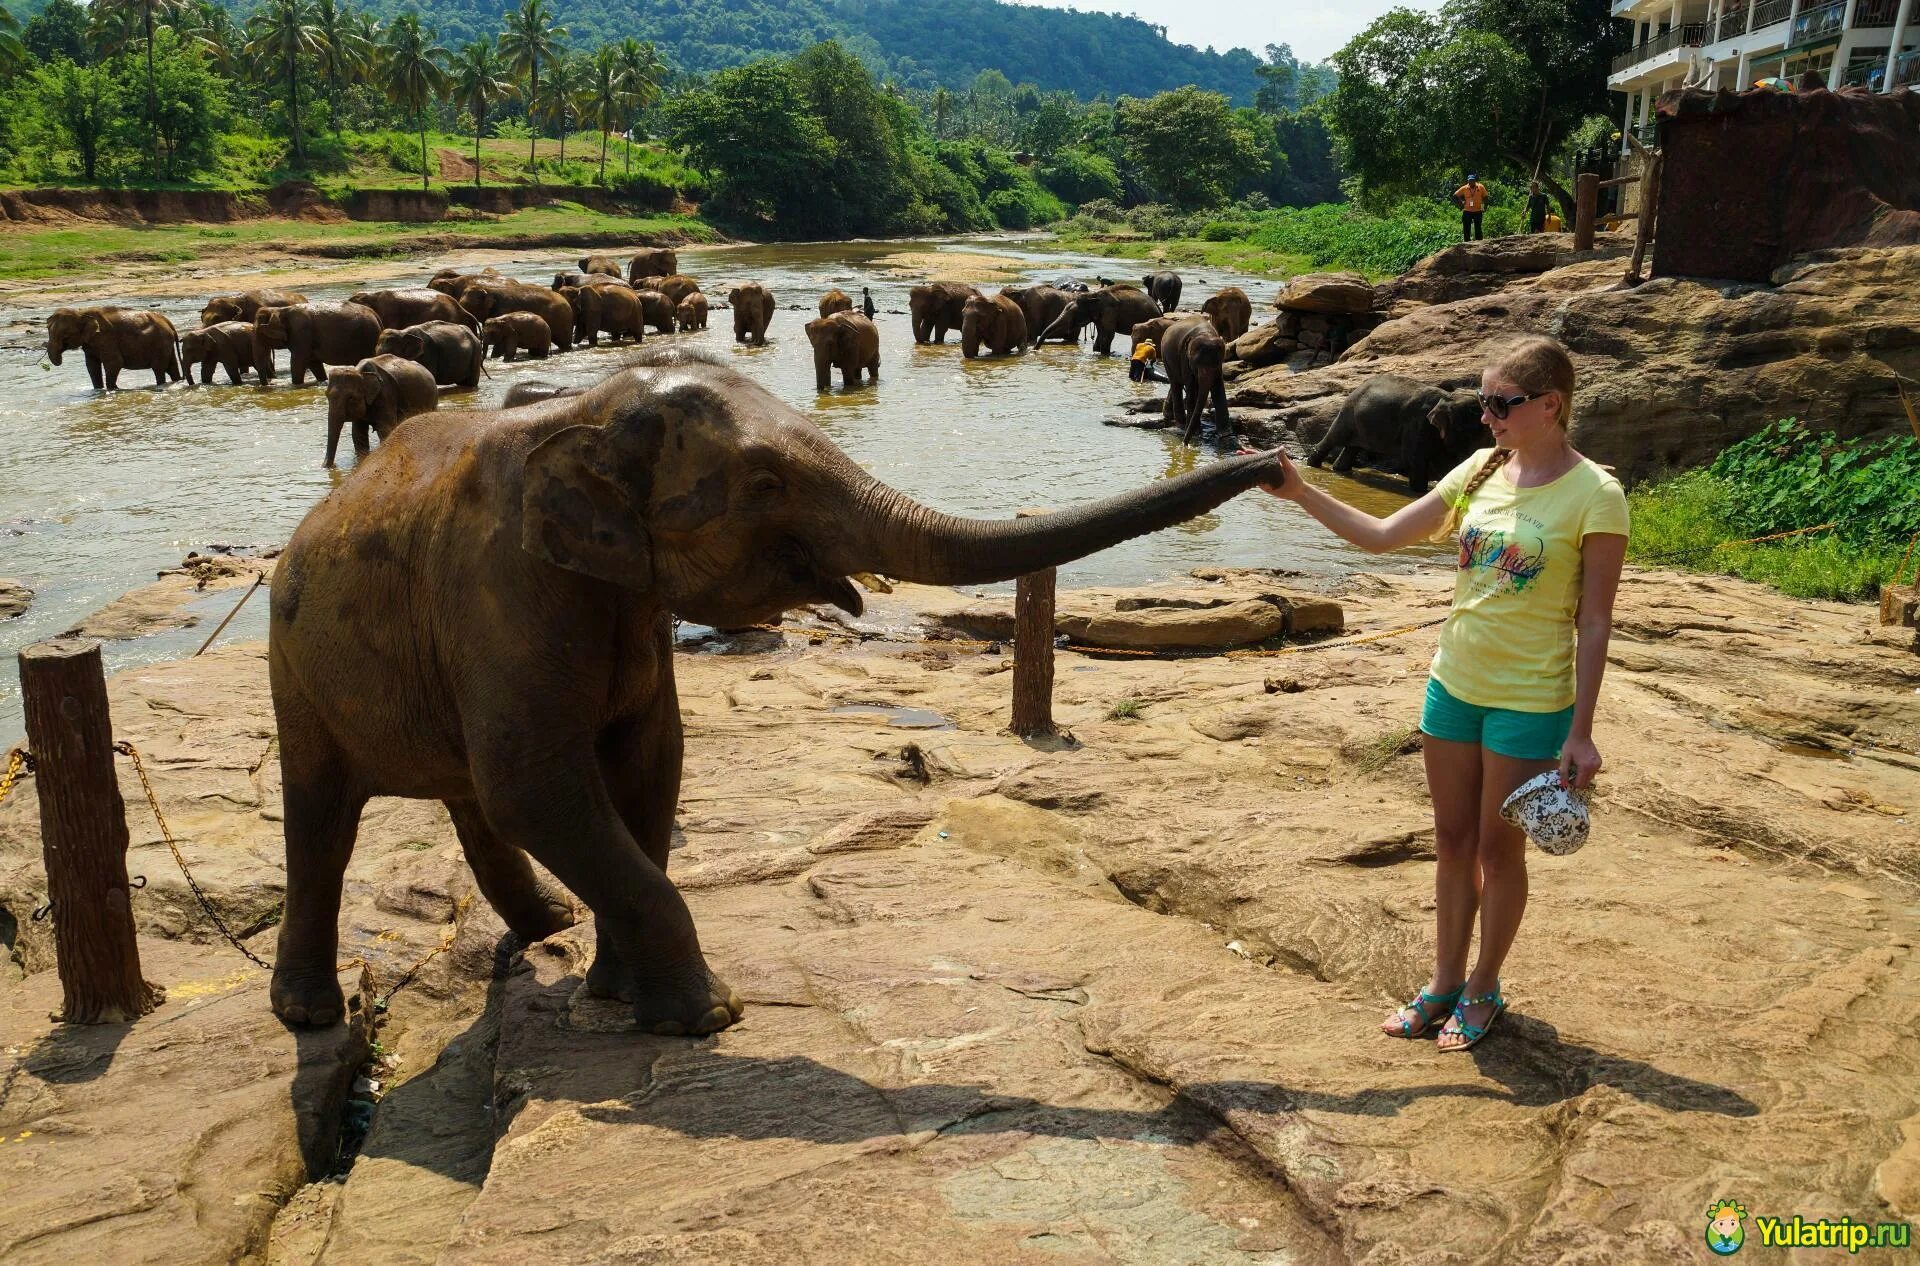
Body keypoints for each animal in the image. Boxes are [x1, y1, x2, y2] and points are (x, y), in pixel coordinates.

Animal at [45, 305, 182, 388]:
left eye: (65, 335)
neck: (81, 312)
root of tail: (168, 322)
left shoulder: (106, 338)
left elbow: (114, 363)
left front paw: (113, 389)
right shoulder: (90, 343)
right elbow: (92, 366)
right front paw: (98, 390)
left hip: (160, 343)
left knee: (159, 369)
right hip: (165, 343)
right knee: (171, 367)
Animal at [266, 341, 1290, 1037]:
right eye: (763, 483)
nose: (1272, 462)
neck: (585, 406)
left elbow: (648, 766)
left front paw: (618, 994)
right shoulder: (498, 586)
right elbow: (539, 787)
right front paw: (707, 1018)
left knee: (468, 795)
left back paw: (548, 923)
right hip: (293, 665)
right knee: (326, 817)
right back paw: (309, 1015)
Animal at [1305, 374, 1482, 491]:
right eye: (1467, 431)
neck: (1449, 396)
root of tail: (1358, 387)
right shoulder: (1419, 423)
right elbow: (1415, 459)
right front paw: (1419, 493)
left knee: (1351, 449)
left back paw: (1339, 470)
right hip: (1348, 412)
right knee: (1334, 438)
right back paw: (1313, 466)